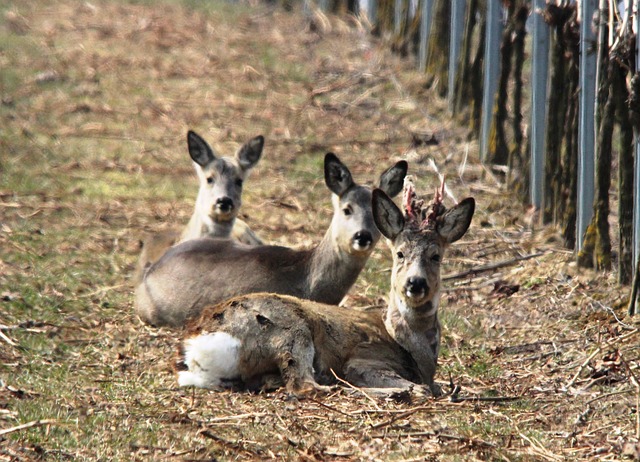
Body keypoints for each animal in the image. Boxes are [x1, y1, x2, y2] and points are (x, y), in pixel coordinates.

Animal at [175, 179, 476, 396]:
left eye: (436, 256)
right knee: (305, 386)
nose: (415, 282)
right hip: (289, 329)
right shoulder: (364, 358)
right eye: (400, 253)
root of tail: (198, 343)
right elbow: (422, 388)